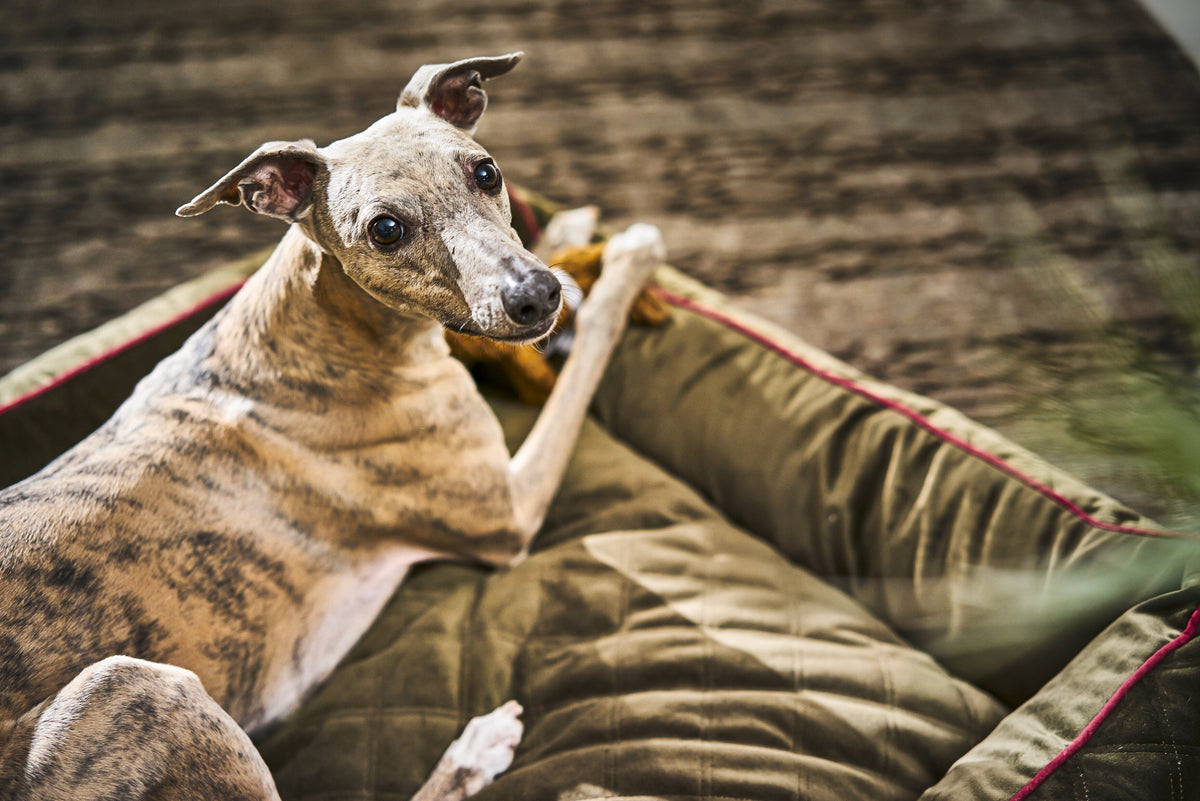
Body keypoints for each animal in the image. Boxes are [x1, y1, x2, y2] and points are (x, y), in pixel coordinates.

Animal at [0, 51, 667, 801]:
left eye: (486, 172)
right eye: (385, 229)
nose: (537, 297)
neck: (326, 328)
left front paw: (571, 235)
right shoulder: (510, 516)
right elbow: (594, 344)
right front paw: (629, 260)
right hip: (139, 690)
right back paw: (476, 749)